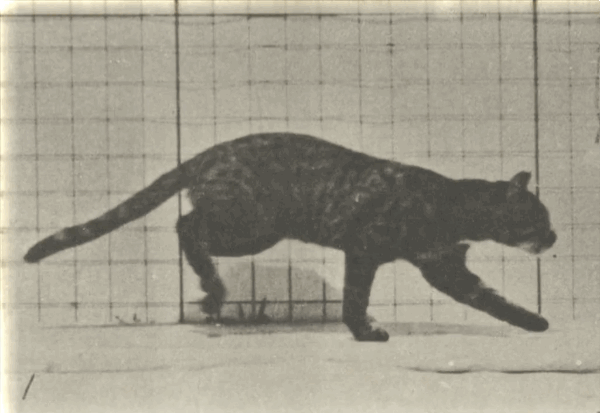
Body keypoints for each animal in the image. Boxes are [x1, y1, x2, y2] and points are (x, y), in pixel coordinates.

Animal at [24, 133, 557, 341]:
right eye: (538, 217)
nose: (553, 238)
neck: (456, 209)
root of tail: (208, 152)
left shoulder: (444, 265)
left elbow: (489, 298)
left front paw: (533, 322)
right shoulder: (364, 249)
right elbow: (355, 296)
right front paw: (365, 332)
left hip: (251, 228)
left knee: (187, 224)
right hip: (252, 226)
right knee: (186, 226)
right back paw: (213, 292)